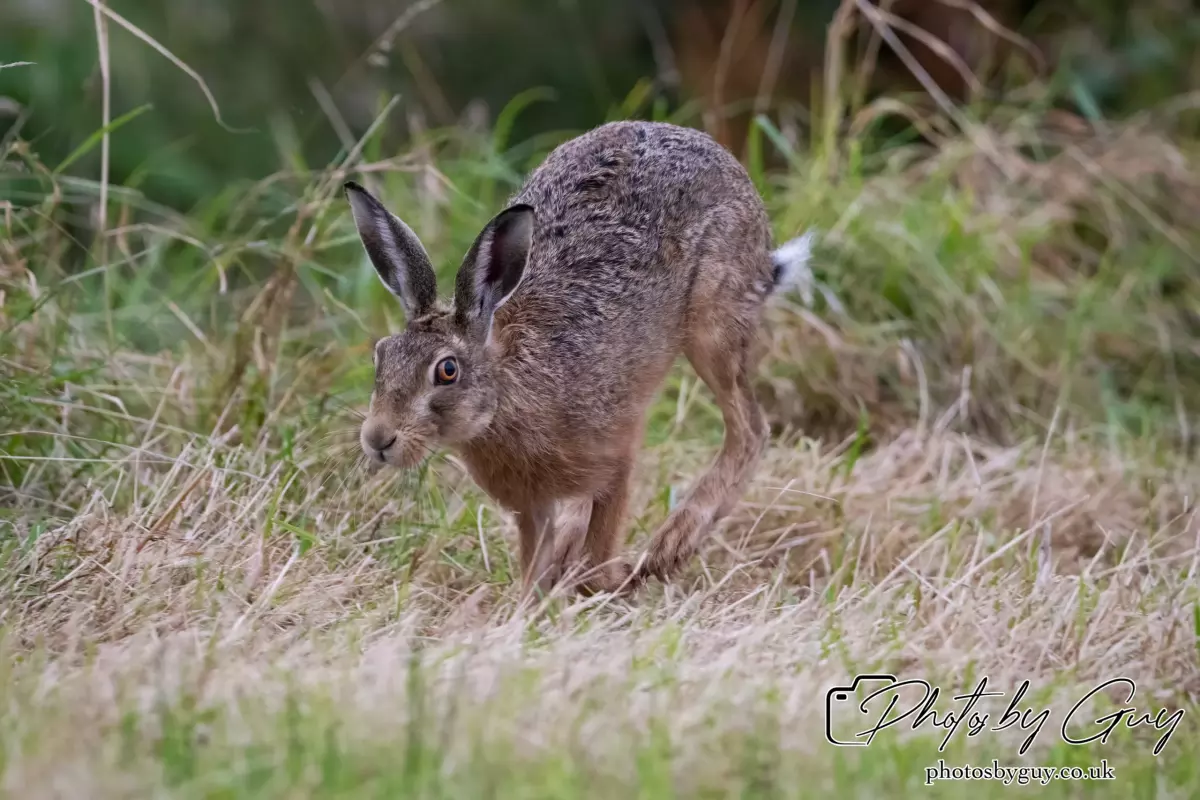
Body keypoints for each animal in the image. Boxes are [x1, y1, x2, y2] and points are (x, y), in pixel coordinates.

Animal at [345, 120, 812, 597]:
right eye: (381, 355)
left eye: (447, 370)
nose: (378, 439)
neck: (505, 393)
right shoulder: (532, 505)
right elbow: (534, 557)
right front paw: (530, 602)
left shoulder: (617, 454)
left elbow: (603, 534)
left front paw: (604, 582)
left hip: (712, 324)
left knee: (749, 429)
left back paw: (668, 548)